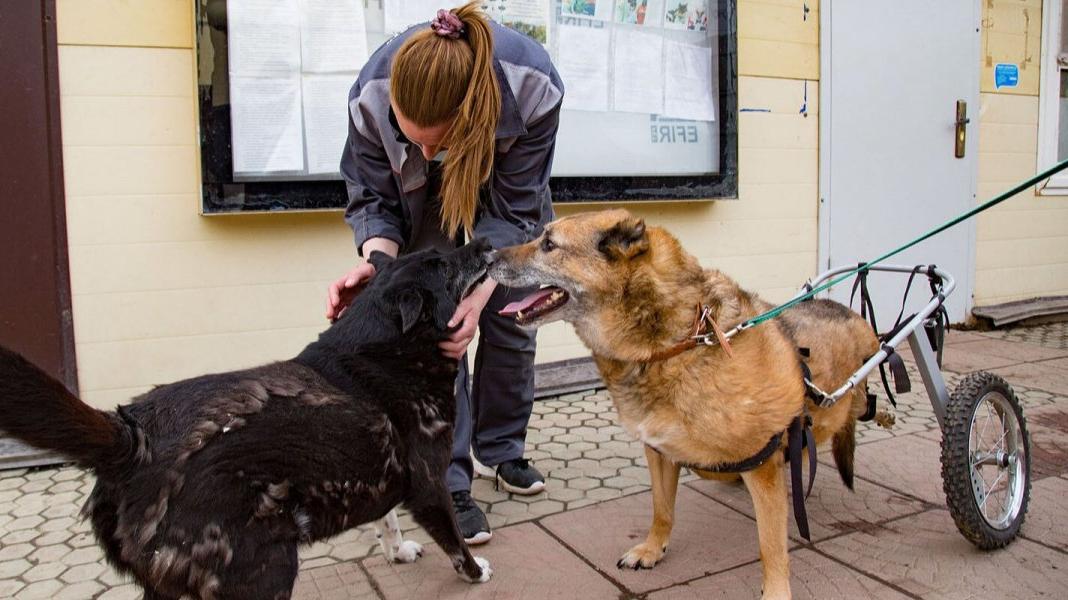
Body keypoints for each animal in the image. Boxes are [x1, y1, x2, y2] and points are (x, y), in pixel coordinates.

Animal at [0, 239, 495, 597]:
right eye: (445, 266)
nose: (486, 241)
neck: (387, 350)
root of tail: (132, 438)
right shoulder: (429, 484)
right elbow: (453, 540)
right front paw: (475, 571)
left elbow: (386, 517)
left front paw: (396, 551)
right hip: (266, 568)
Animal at [489, 208, 875, 593]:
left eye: (549, 244)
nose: (488, 256)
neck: (675, 344)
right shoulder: (659, 451)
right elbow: (662, 510)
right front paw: (652, 550)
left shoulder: (763, 466)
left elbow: (771, 547)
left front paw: (776, 592)